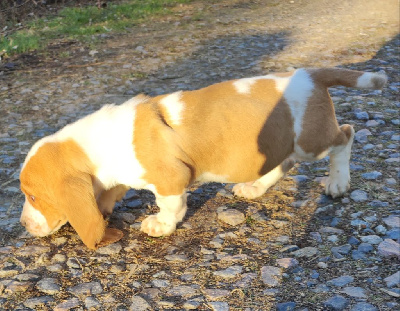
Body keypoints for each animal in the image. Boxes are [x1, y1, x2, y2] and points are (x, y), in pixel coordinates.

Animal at [19, 68, 388, 251]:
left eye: (33, 196)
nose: (22, 225)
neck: (97, 144)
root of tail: (309, 75)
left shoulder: (171, 179)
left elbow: (170, 205)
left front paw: (160, 226)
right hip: (284, 144)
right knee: (284, 164)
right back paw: (255, 188)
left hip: (312, 141)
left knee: (346, 136)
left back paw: (338, 183)